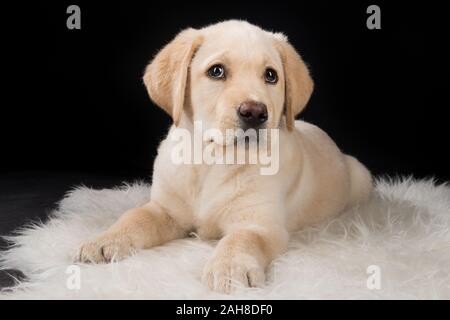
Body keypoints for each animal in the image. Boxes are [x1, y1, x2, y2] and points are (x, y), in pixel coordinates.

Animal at [77, 20, 372, 294]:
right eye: (216, 71)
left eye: (271, 75)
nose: (255, 112)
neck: (213, 161)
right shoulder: (165, 209)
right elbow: (135, 216)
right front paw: (104, 240)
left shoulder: (261, 224)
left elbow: (241, 238)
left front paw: (230, 269)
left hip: (362, 178)